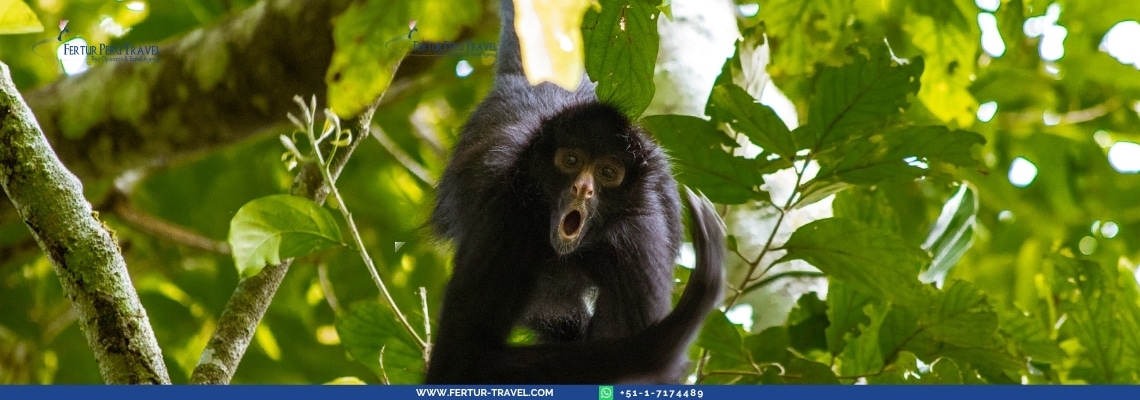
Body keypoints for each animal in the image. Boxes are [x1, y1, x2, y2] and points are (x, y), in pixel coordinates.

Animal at [425, 0, 725, 383]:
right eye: (571, 160)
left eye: (608, 173)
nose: (583, 188)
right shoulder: (505, 214)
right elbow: (460, 363)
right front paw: (684, 316)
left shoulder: (638, 238)